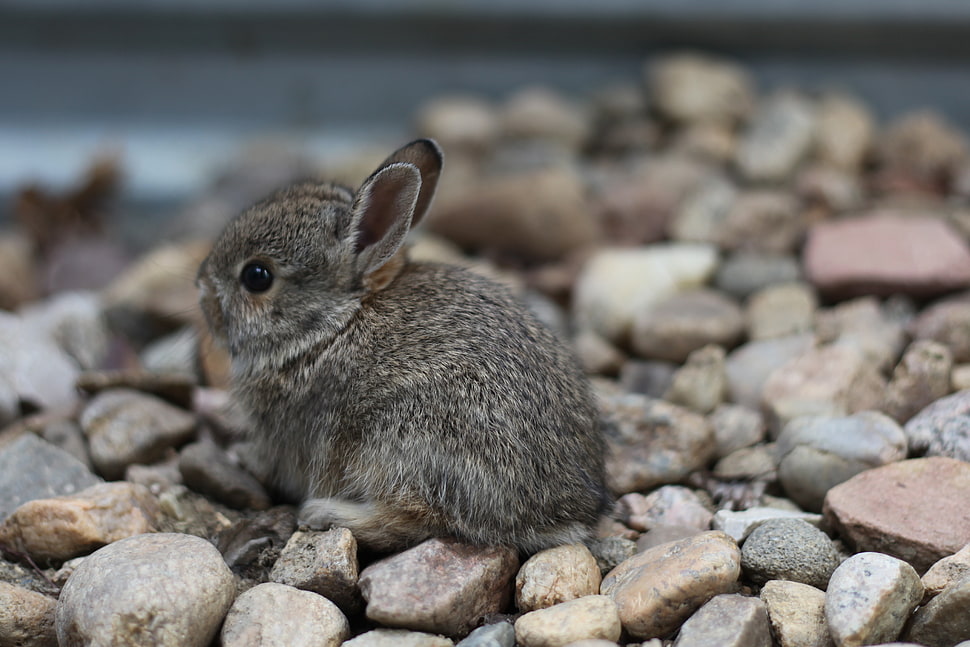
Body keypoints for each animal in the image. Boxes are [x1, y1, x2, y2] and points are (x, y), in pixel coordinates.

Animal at [197, 139, 604, 556]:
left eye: (256, 277)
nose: (201, 288)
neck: (330, 326)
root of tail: (562, 517)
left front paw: (244, 456)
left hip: (403, 439)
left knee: (413, 519)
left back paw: (323, 512)